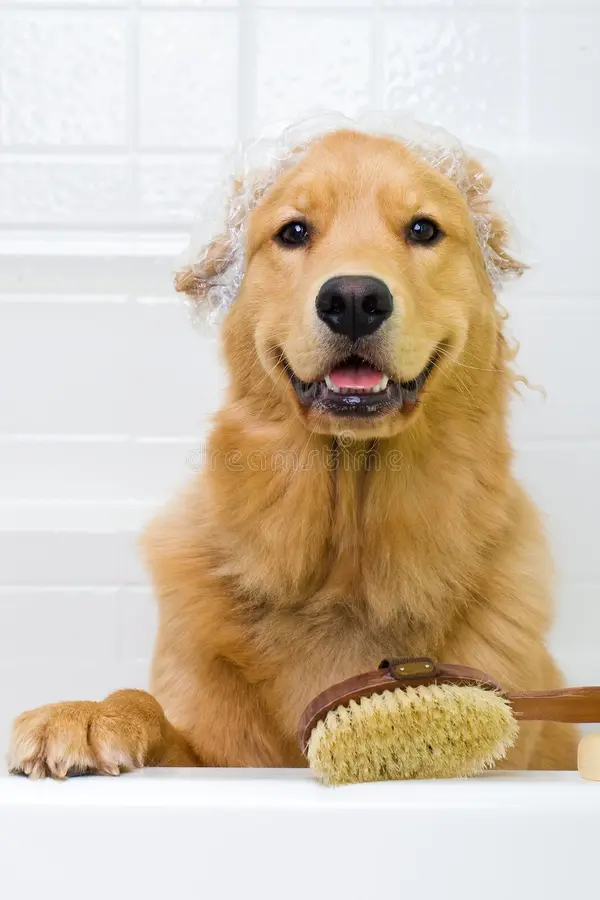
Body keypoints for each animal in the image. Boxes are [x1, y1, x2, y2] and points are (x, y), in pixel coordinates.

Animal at [5, 123, 576, 776]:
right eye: (294, 231)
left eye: (423, 229)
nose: (353, 299)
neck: (346, 568)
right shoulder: (211, 749)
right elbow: (147, 706)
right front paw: (88, 713)